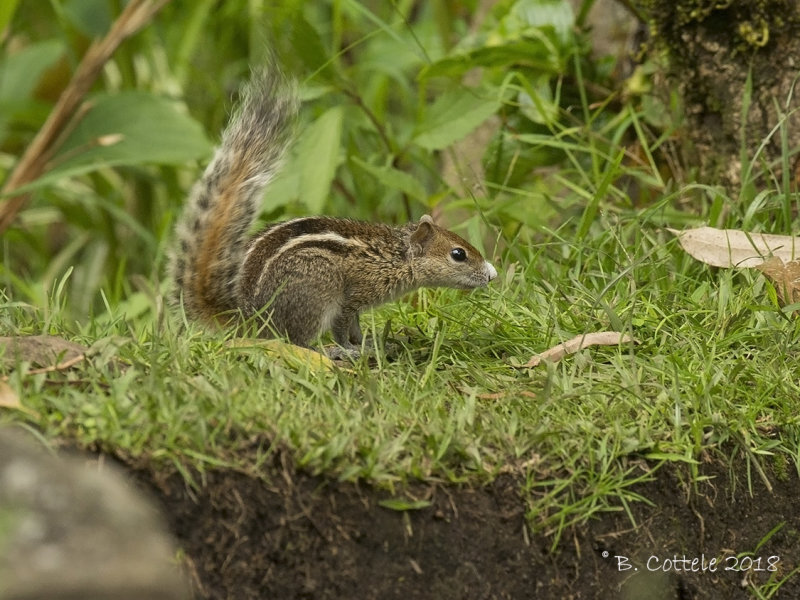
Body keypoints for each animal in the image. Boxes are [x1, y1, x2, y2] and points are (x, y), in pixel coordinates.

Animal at [168, 63, 494, 358]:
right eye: (458, 254)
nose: (491, 275)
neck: (397, 256)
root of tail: (249, 318)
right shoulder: (351, 298)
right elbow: (341, 328)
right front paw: (351, 349)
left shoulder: (359, 304)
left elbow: (356, 328)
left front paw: (371, 343)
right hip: (315, 293)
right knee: (297, 341)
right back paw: (330, 353)